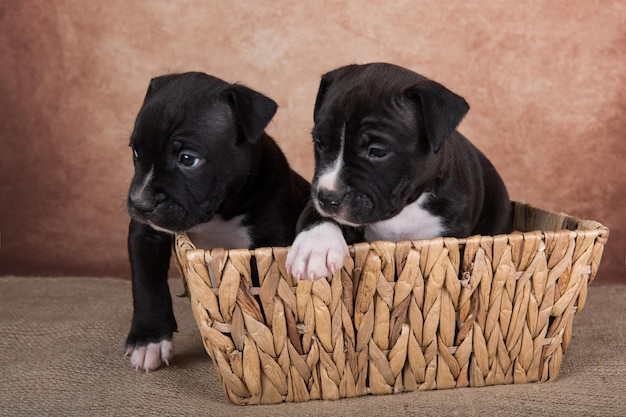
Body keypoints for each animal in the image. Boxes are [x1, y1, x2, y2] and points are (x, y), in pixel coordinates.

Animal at [125, 71, 310, 370]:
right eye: (136, 152)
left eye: (187, 159)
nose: (140, 203)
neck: (219, 213)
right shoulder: (146, 235)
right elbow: (146, 283)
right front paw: (148, 340)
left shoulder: (270, 241)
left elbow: (261, 291)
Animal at [286, 62, 510, 280]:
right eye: (320, 144)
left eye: (377, 151)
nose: (327, 197)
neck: (404, 209)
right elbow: (315, 214)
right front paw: (315, 246)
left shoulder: (453, 232)